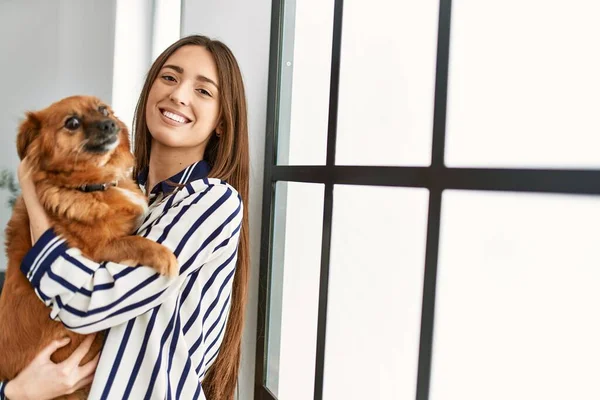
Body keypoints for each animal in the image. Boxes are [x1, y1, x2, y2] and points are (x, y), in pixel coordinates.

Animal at [0, 95, 176, 398]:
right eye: (72, 122)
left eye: (103, 110)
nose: (110, 124)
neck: (96, 186)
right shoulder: (95, 256)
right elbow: (134, 241)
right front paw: (164, 255)